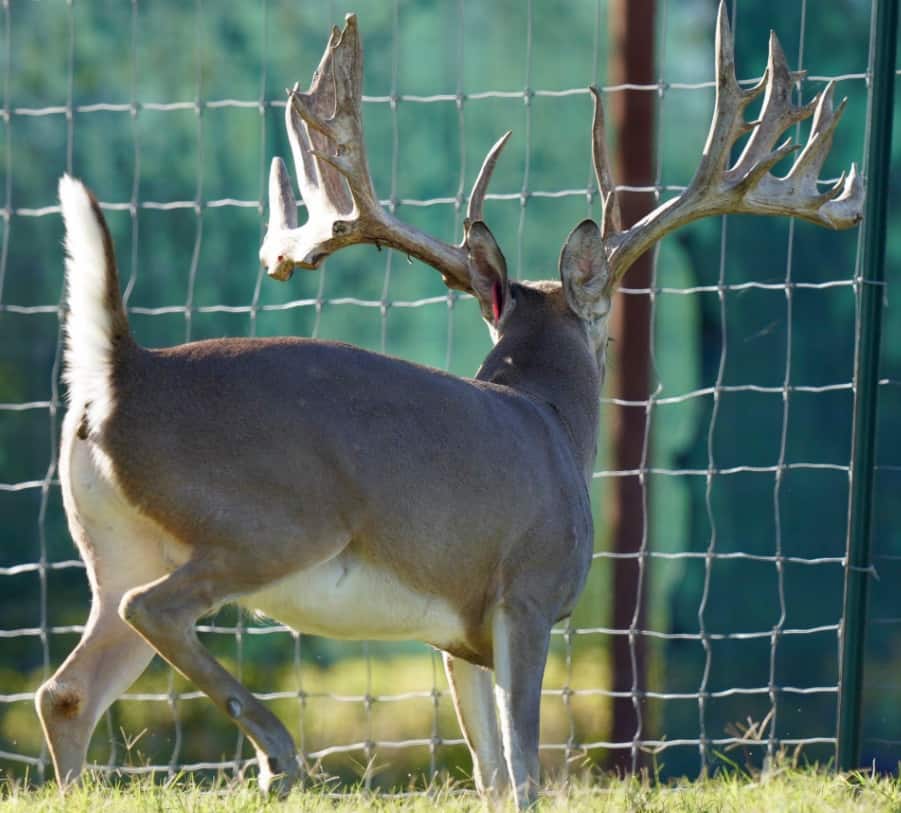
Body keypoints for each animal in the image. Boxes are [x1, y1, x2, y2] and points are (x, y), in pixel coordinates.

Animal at [37, 3, 862, 808]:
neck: (548, 418)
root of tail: (123, 372)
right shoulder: (526, 589)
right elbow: (525, 772)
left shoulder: (456, 635)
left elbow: (490, 773)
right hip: (271, 520)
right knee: (154, 610)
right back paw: (277, 755)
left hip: (116, 547)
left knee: (67, 689)